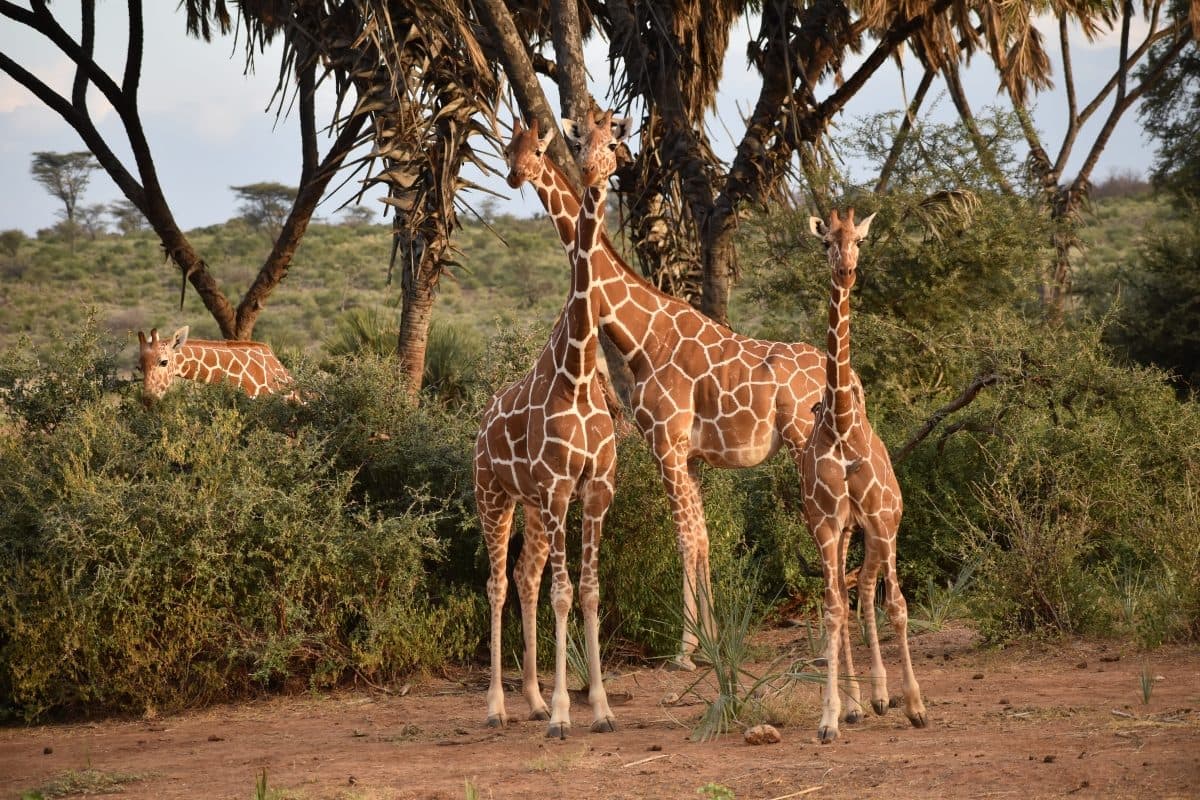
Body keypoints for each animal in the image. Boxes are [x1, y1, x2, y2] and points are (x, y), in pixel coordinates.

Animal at [505, 119, 855, 671]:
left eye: (541, 149)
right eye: (508, 147)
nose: (518, 174)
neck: (641, 334)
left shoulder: (665, 444)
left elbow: (684, 538)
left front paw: (684, 651)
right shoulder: (687, 454)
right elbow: (703, 538)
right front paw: (712, 640)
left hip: (805, 442)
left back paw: (828, 647)